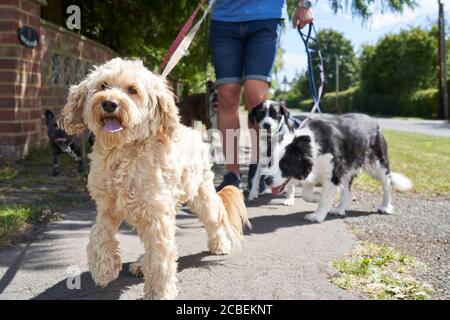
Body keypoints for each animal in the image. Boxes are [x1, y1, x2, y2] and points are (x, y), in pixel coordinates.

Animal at [58, 58, 250, 300]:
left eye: (132, 90)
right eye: (103, 85)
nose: (109, 103)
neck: (124, 153)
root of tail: (194, 133)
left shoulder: (156, 214)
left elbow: (161, 257)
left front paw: (159, 292)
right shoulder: (108, 207)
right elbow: (99, 235)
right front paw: (104, 268)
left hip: (200, 194)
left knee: (214, 218)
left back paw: (220, 244)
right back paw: (141, 264)